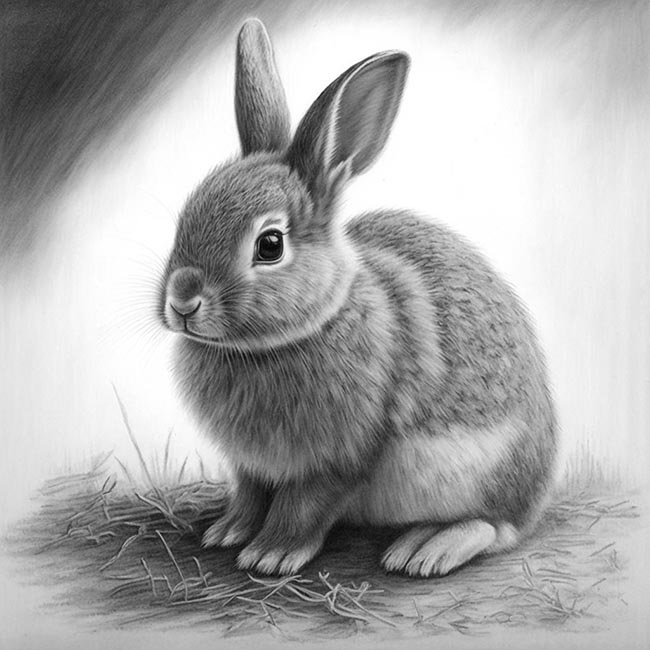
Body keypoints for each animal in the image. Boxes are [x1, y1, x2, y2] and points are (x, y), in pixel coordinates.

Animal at [158, 17, 557, 577]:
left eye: (269, 245)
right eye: (186, 215)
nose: (182, 302)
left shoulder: (342, 457)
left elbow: (304, 504)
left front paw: (271, 554)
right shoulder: (250, 465)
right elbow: (250, 494)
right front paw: (227, 531)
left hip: (478, 474)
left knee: (496, 527)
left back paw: (427, 548)